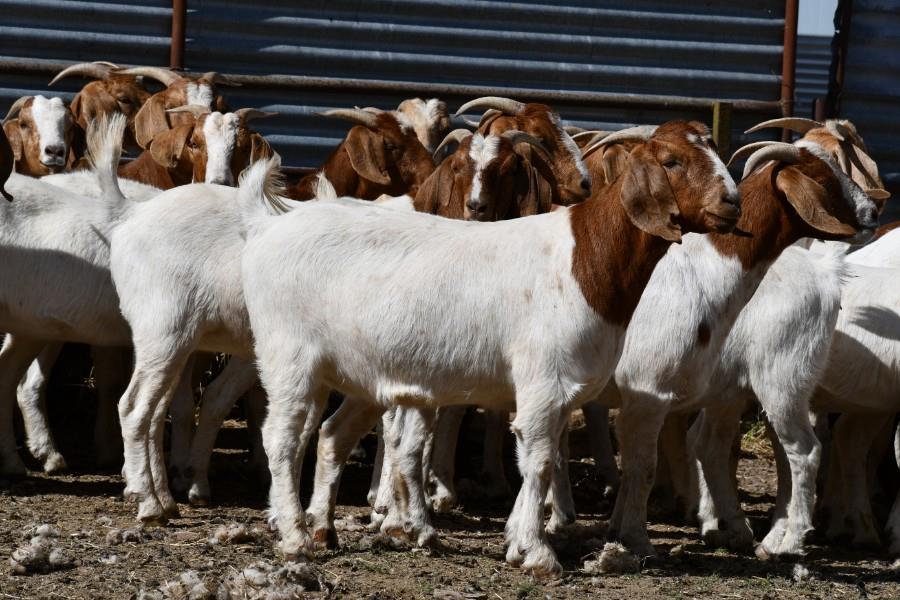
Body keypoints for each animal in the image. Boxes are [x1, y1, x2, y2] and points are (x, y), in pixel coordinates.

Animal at [238, 121, 740, 576]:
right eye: (671, 161)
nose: (731, 204)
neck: (586, 259)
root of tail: (270, 228)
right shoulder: (542, 381)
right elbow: (540, 461)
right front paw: (537, 555)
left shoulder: (565, 388)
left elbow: (547, 459)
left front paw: (519, 541)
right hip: (288, 355)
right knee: (281, 438)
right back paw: (295, 538)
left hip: (355, 373)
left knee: (330, 435)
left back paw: (324, 529)